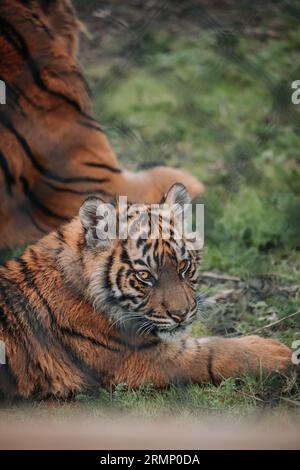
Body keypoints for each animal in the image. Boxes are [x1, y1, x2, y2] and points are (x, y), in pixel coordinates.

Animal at [0, 185, 290, 400]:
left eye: (184, 266)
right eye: (144, 276)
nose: (181, 314)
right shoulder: (141, 356)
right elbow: (214, 352)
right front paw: (277, 352)